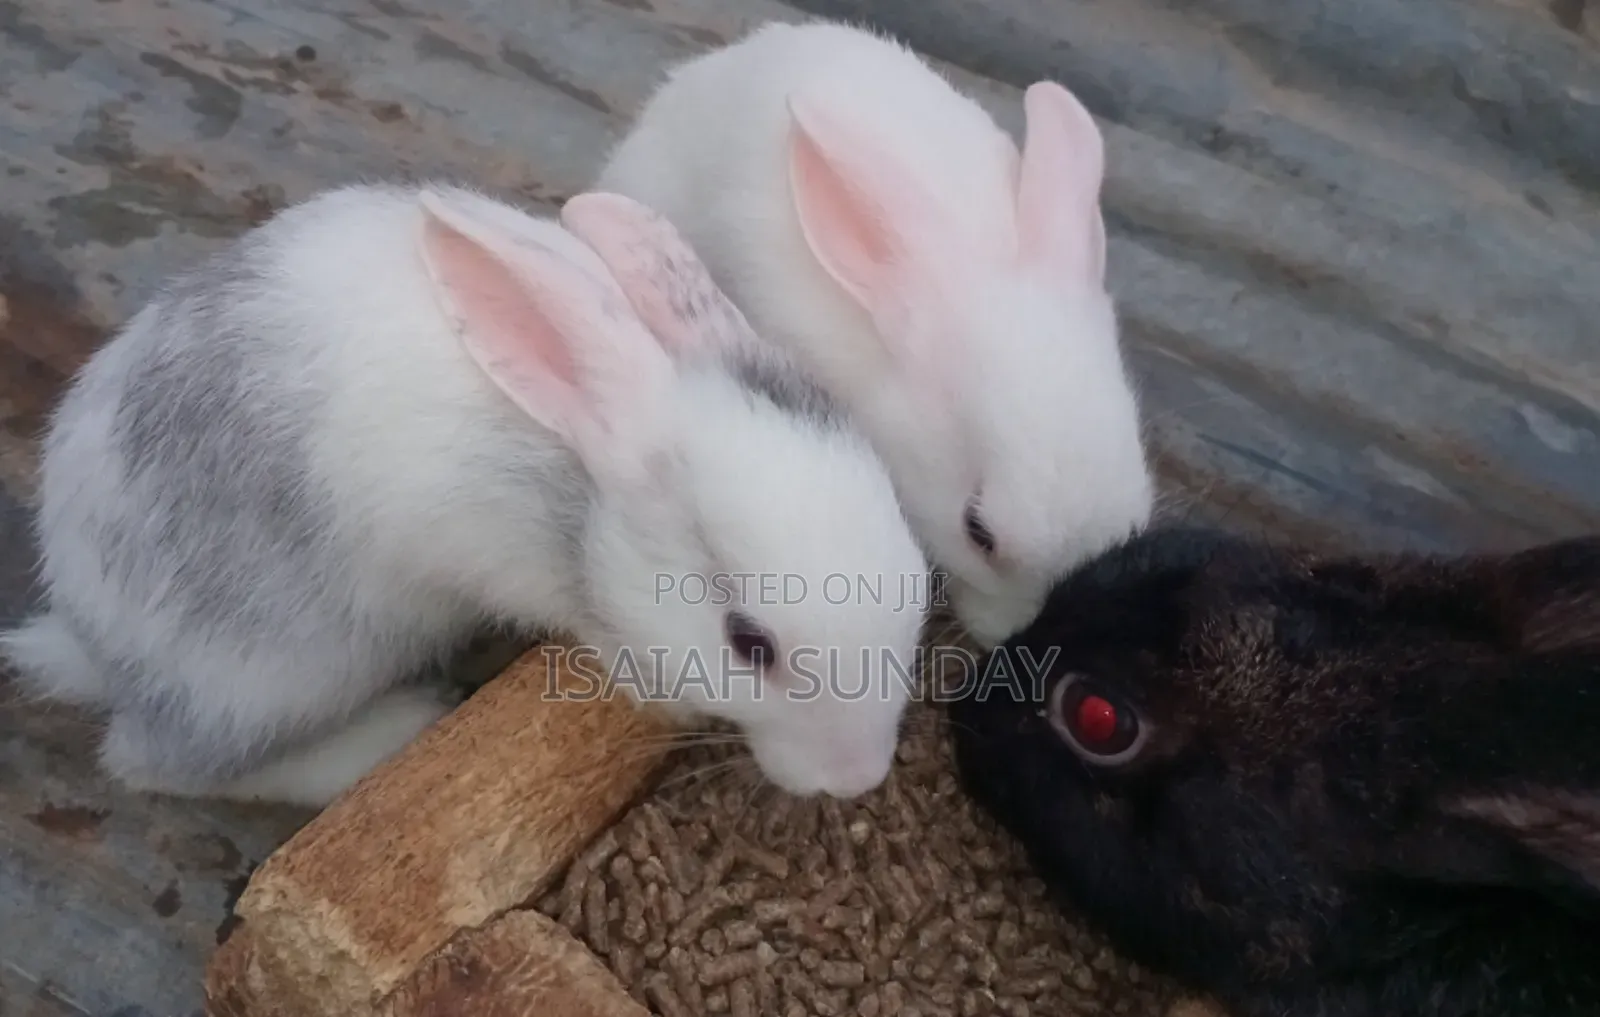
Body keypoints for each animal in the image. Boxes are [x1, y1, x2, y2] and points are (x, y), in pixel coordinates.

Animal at [1, 182, 932, 809]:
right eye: (749, 643)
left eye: (916, 580)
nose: (858, 775)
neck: (578, 488)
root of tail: (91, 642)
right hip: (274, 675)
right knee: (158, 763)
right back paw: (395, 729)